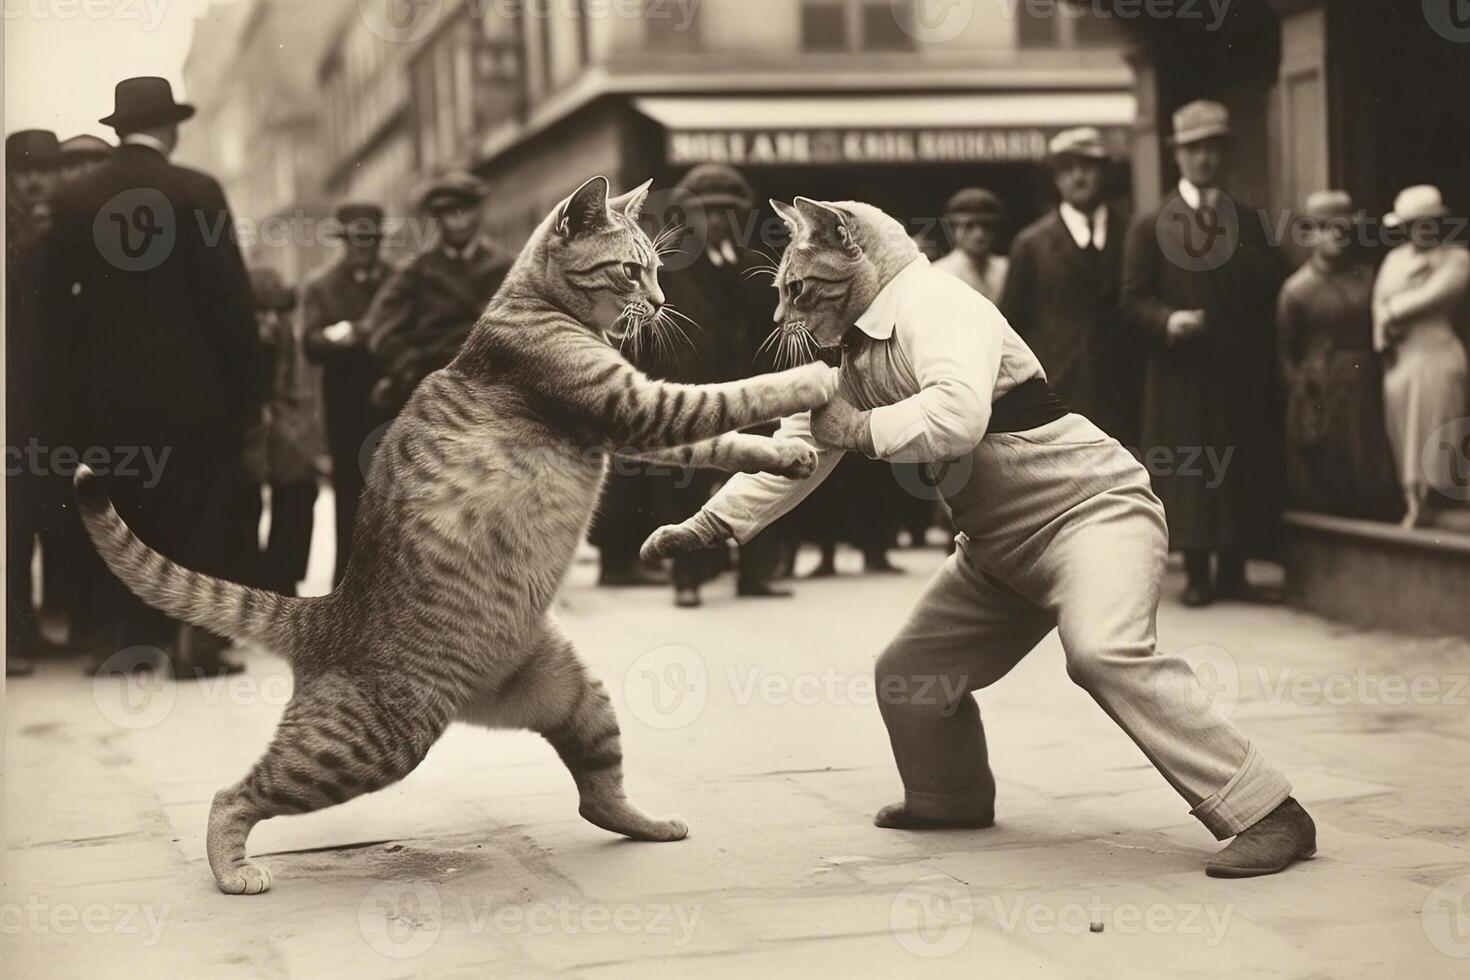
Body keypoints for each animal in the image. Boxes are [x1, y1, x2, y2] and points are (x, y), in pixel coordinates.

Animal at [74, 176, 840, 899]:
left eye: (655, 270)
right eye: (631, 270)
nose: (656, 303)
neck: (536, 305)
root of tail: (325, 611)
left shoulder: (632, 419)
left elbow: (721, 437)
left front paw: (786, 454)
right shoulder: (634, 406)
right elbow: (731, 396)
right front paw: (813, 377)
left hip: (572, 691)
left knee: (597, 792)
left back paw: (647, 823)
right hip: (366, 745)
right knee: (232, 796)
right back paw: (232, 869)